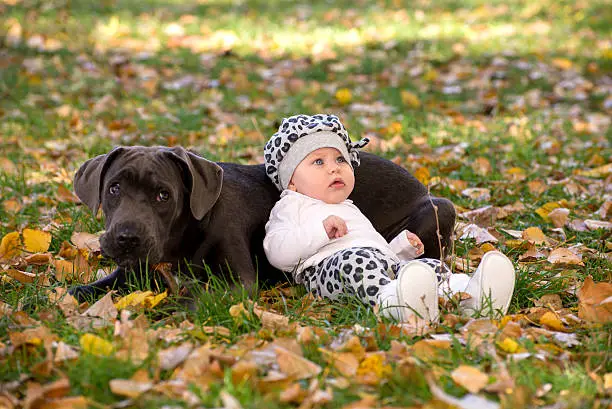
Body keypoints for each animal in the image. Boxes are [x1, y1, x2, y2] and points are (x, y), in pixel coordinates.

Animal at [68, 146, 454, 300]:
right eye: (114, 188)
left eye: (163, 195)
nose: (127, 237)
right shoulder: (133, 270)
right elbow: (97, 285)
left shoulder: (240, 281)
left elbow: (194, 295)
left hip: (441, 208)